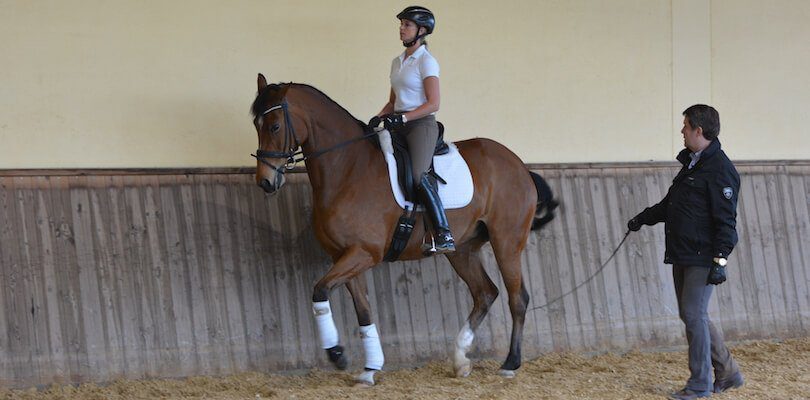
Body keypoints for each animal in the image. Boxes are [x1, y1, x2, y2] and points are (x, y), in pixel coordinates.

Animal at [252, 72, 556, 384]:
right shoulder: (345, 256)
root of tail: (520, 166)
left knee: (517, 298)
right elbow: (363, 310)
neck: (347, 168)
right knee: (485, 293)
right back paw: (460, 360)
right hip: (462, 250)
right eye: (256, 125)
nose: (265, 182)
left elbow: (320, 290)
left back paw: (510, 363)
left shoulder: (365, 253)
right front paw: (370, 368)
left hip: (506, 241)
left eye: (275, 126)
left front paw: (336, 354)